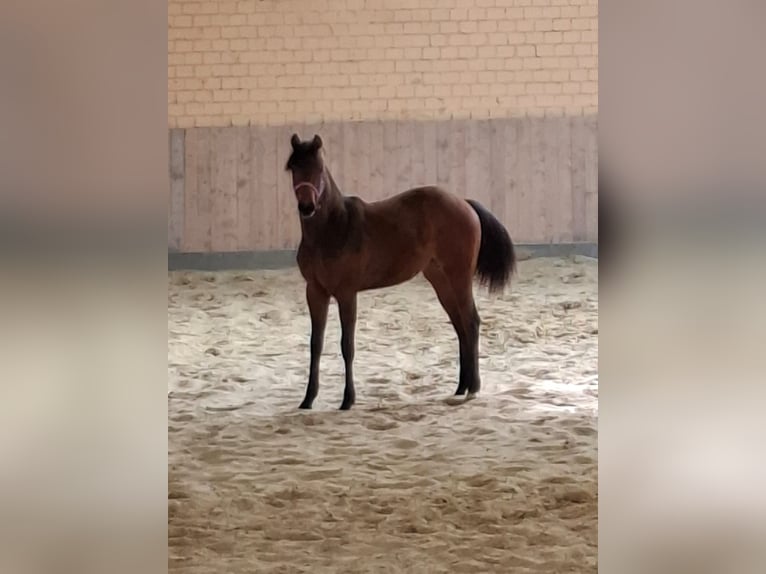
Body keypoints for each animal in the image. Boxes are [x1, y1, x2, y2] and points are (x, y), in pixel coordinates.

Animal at [285, 133, 516, 410]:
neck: (333, 229)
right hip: (440, 280)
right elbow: (315, 344)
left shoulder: (346, 293)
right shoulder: (315, 292)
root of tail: (464, 203)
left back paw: (474, 388)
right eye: (294, 168)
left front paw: (348, 400)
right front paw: (308, 399)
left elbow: (346, 345)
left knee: (471, 322)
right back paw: (461, 386)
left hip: (459, 276)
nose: (306, 207)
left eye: (318, 168)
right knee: (460, 326)